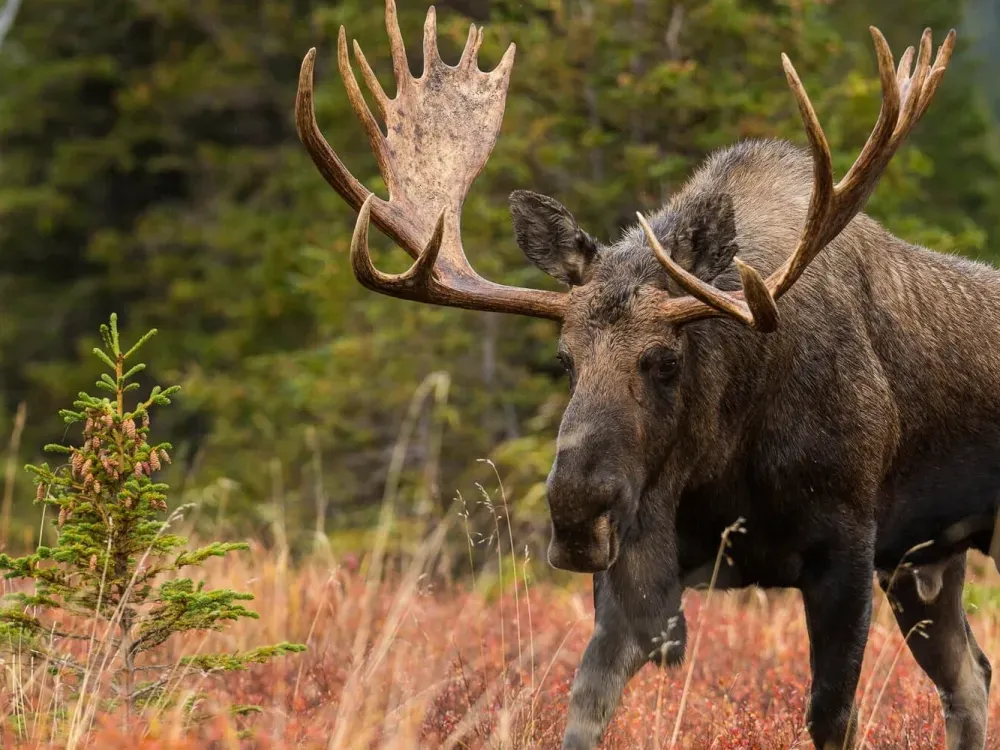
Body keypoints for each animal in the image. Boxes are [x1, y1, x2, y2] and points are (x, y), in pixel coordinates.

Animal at [293, 2, 991, 748]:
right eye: (564, 358)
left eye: (665, 360)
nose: (575, 510)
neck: (725, 452)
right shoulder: (641, 558)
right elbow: (586, 700)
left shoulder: (847, 545)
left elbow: (831, 715)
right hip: (928, 560)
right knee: (971, 676)